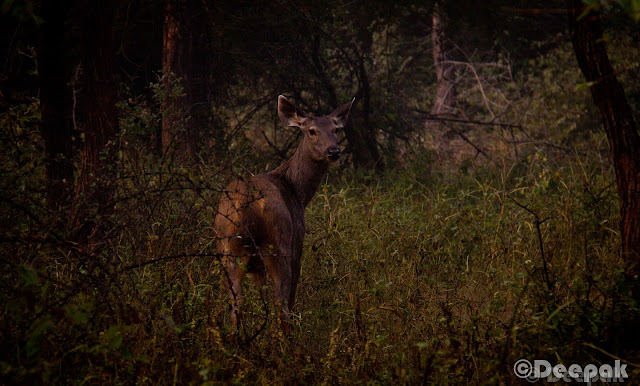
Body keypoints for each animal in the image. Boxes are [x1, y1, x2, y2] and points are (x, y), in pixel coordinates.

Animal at [215, 94, 356, 332]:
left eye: (336, 129)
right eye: (311, 130)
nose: (334, 152)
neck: (297, 193)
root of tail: (247, 204)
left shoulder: (256, 268)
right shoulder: (297, 245)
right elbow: (289, 299)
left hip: (228, 249)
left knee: (236, 303)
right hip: (278, 245)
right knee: (281, 305)